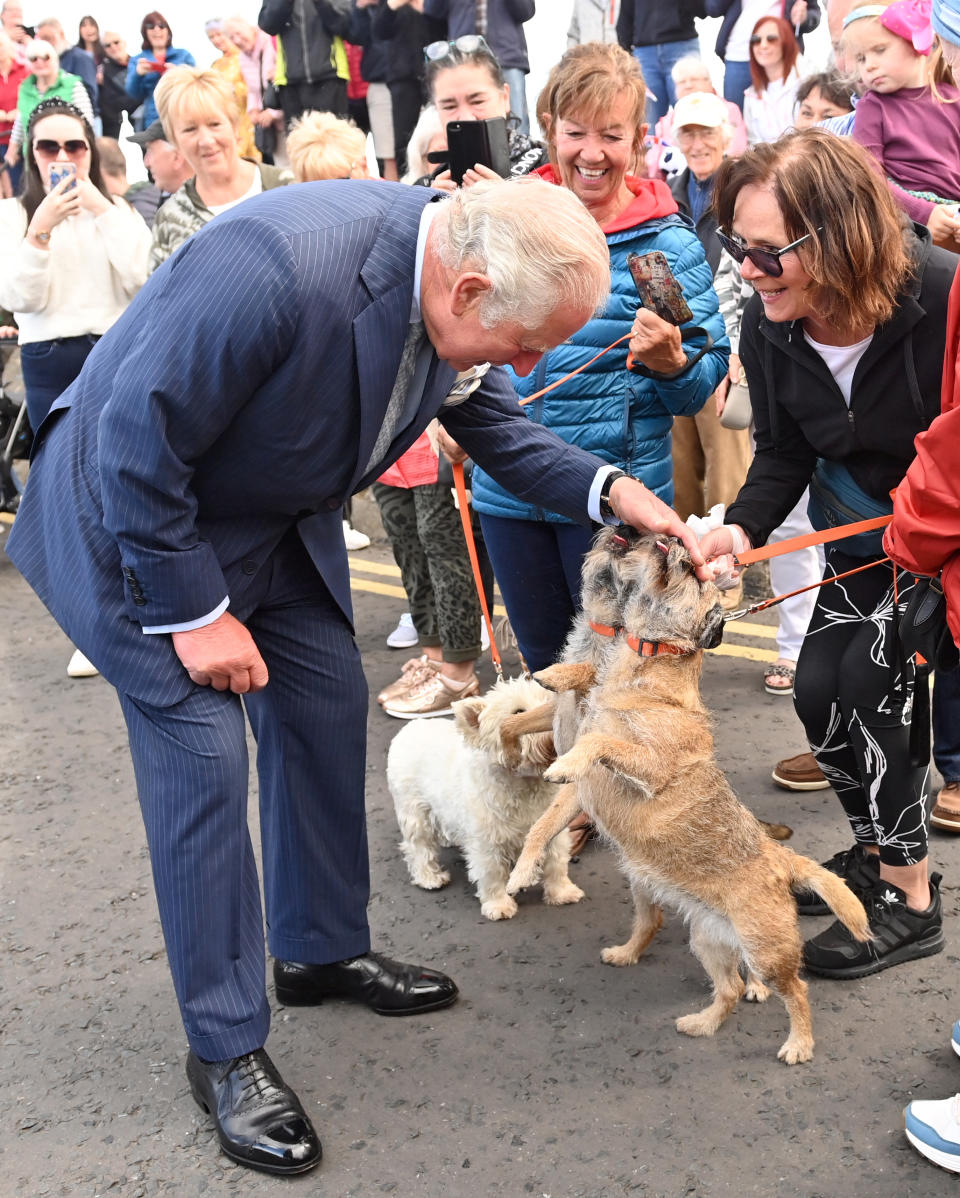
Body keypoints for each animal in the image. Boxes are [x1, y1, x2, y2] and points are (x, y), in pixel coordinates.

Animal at [383, 675, 580, 915]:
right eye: (518, 711)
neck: (525, 785)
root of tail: (409, 728)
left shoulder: (553, 832)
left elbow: (556, 863)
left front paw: (563, 893)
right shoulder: (487, 842)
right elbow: (492, 873)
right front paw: (499, 905)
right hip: (414, 810)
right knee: (418, 846)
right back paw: (430, 878)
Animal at [505, 536, 872, 1068]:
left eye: (698, 577)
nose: (674, 538)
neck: (647, 667)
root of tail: (779, 858)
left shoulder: (649, 766)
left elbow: (602, 742)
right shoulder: (584, 788)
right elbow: (543, 822)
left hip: (767, 946)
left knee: (794, 989)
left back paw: (798, 1043)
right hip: (708, 938)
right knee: (728, 988)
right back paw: (699, 1022)